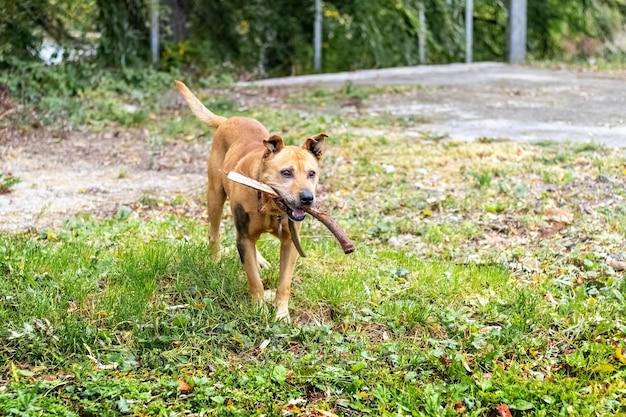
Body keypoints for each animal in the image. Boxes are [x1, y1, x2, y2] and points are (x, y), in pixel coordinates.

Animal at [173, 81, 324, 320]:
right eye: (286, 173)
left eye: (312, 173)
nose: (307, 198)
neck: (271, 206)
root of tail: (228, 120)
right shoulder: (243, 236)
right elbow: (254, 280)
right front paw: (259, 309)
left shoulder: (290, 243)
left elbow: (284, 283)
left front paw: (282, 314)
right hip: (215, 195)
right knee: (214, 233)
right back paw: (216, 259)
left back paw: (259, 259)